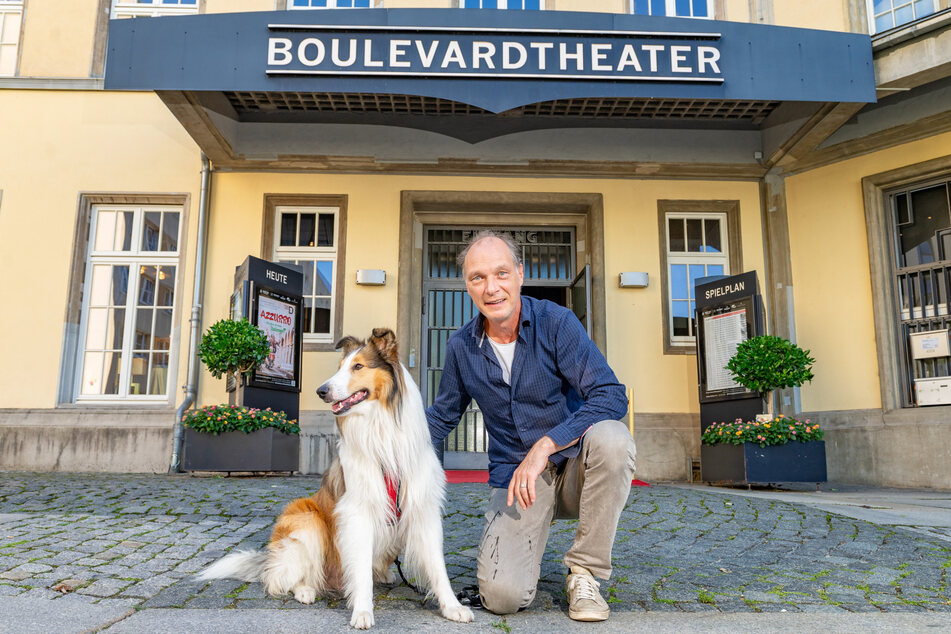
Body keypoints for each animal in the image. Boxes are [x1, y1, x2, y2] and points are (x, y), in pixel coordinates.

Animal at [196, 326, 472, 628]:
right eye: (339, 368)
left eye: (358, 366)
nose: (321, 391)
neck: (382, 431)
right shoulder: (358, 511)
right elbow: (360, 570)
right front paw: (362, 611)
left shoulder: (422, 509)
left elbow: (437, 566)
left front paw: (452, 606)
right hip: (306, 519)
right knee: (281, 577)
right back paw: (305, 590)